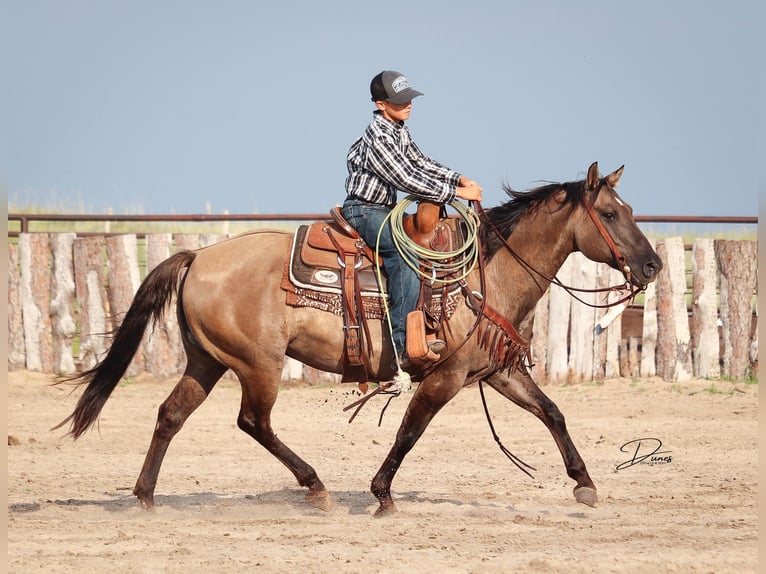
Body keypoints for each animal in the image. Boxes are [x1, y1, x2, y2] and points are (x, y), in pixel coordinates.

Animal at [55, 162, 664, 516]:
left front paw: (584, 483)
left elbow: (552, 412)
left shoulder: (496, 371)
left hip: (207, 360)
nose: (653, 265)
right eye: (610, 213)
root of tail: (198, 255)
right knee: (252, 422)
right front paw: (382, 494)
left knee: (171, 415)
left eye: (630, 209)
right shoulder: (444, 377)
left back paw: (145, 496)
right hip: (257, 364)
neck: (483, 271)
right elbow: (410, 431)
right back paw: (315, 485)